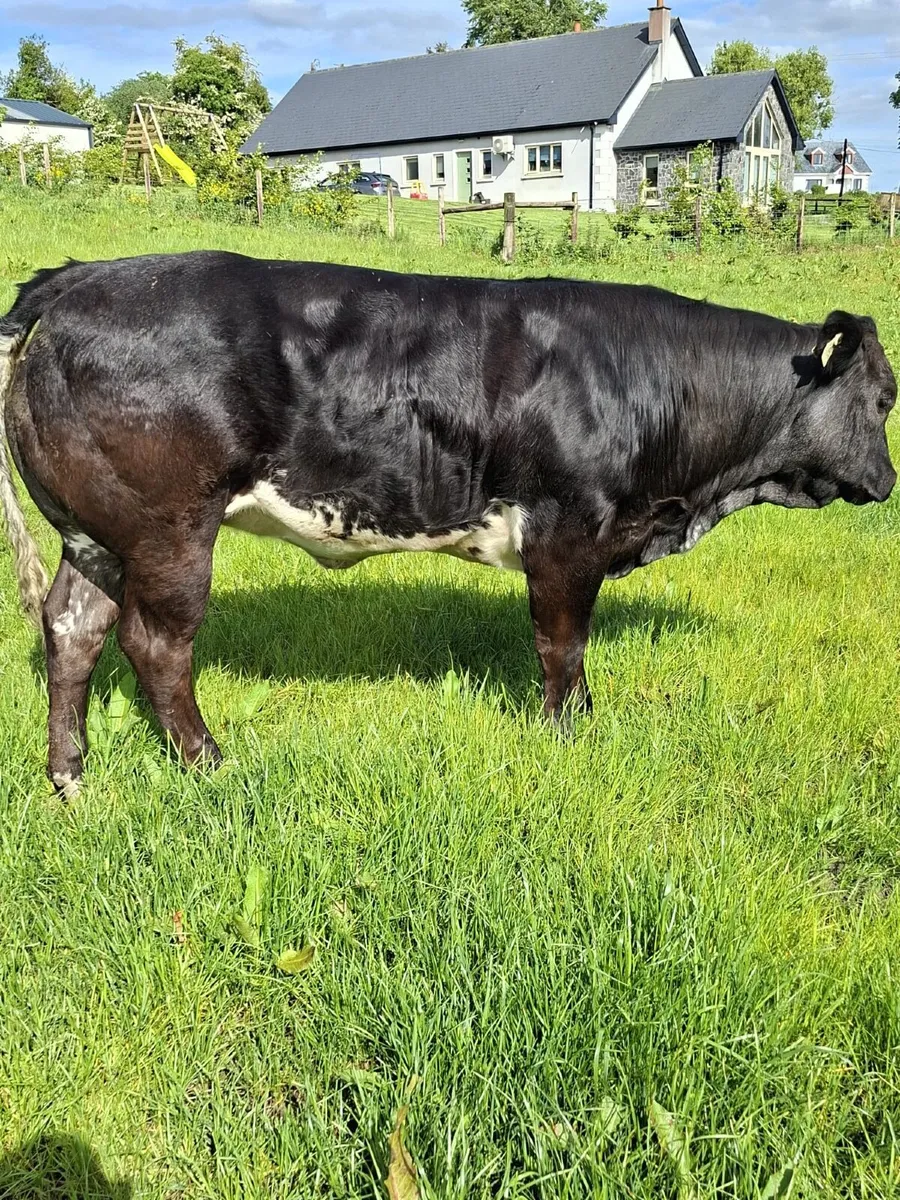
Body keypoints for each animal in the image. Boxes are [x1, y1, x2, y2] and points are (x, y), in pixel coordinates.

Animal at [0, 251, 895, 795]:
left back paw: (70, 774)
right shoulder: (568, 531)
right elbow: (562, 648)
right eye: (885, 399)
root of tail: (84, 276)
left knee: (72, 627)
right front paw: (569, 736)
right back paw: (210, 763)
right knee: (155, 644)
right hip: (172, 528)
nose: (887, 482)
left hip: (99, 530)